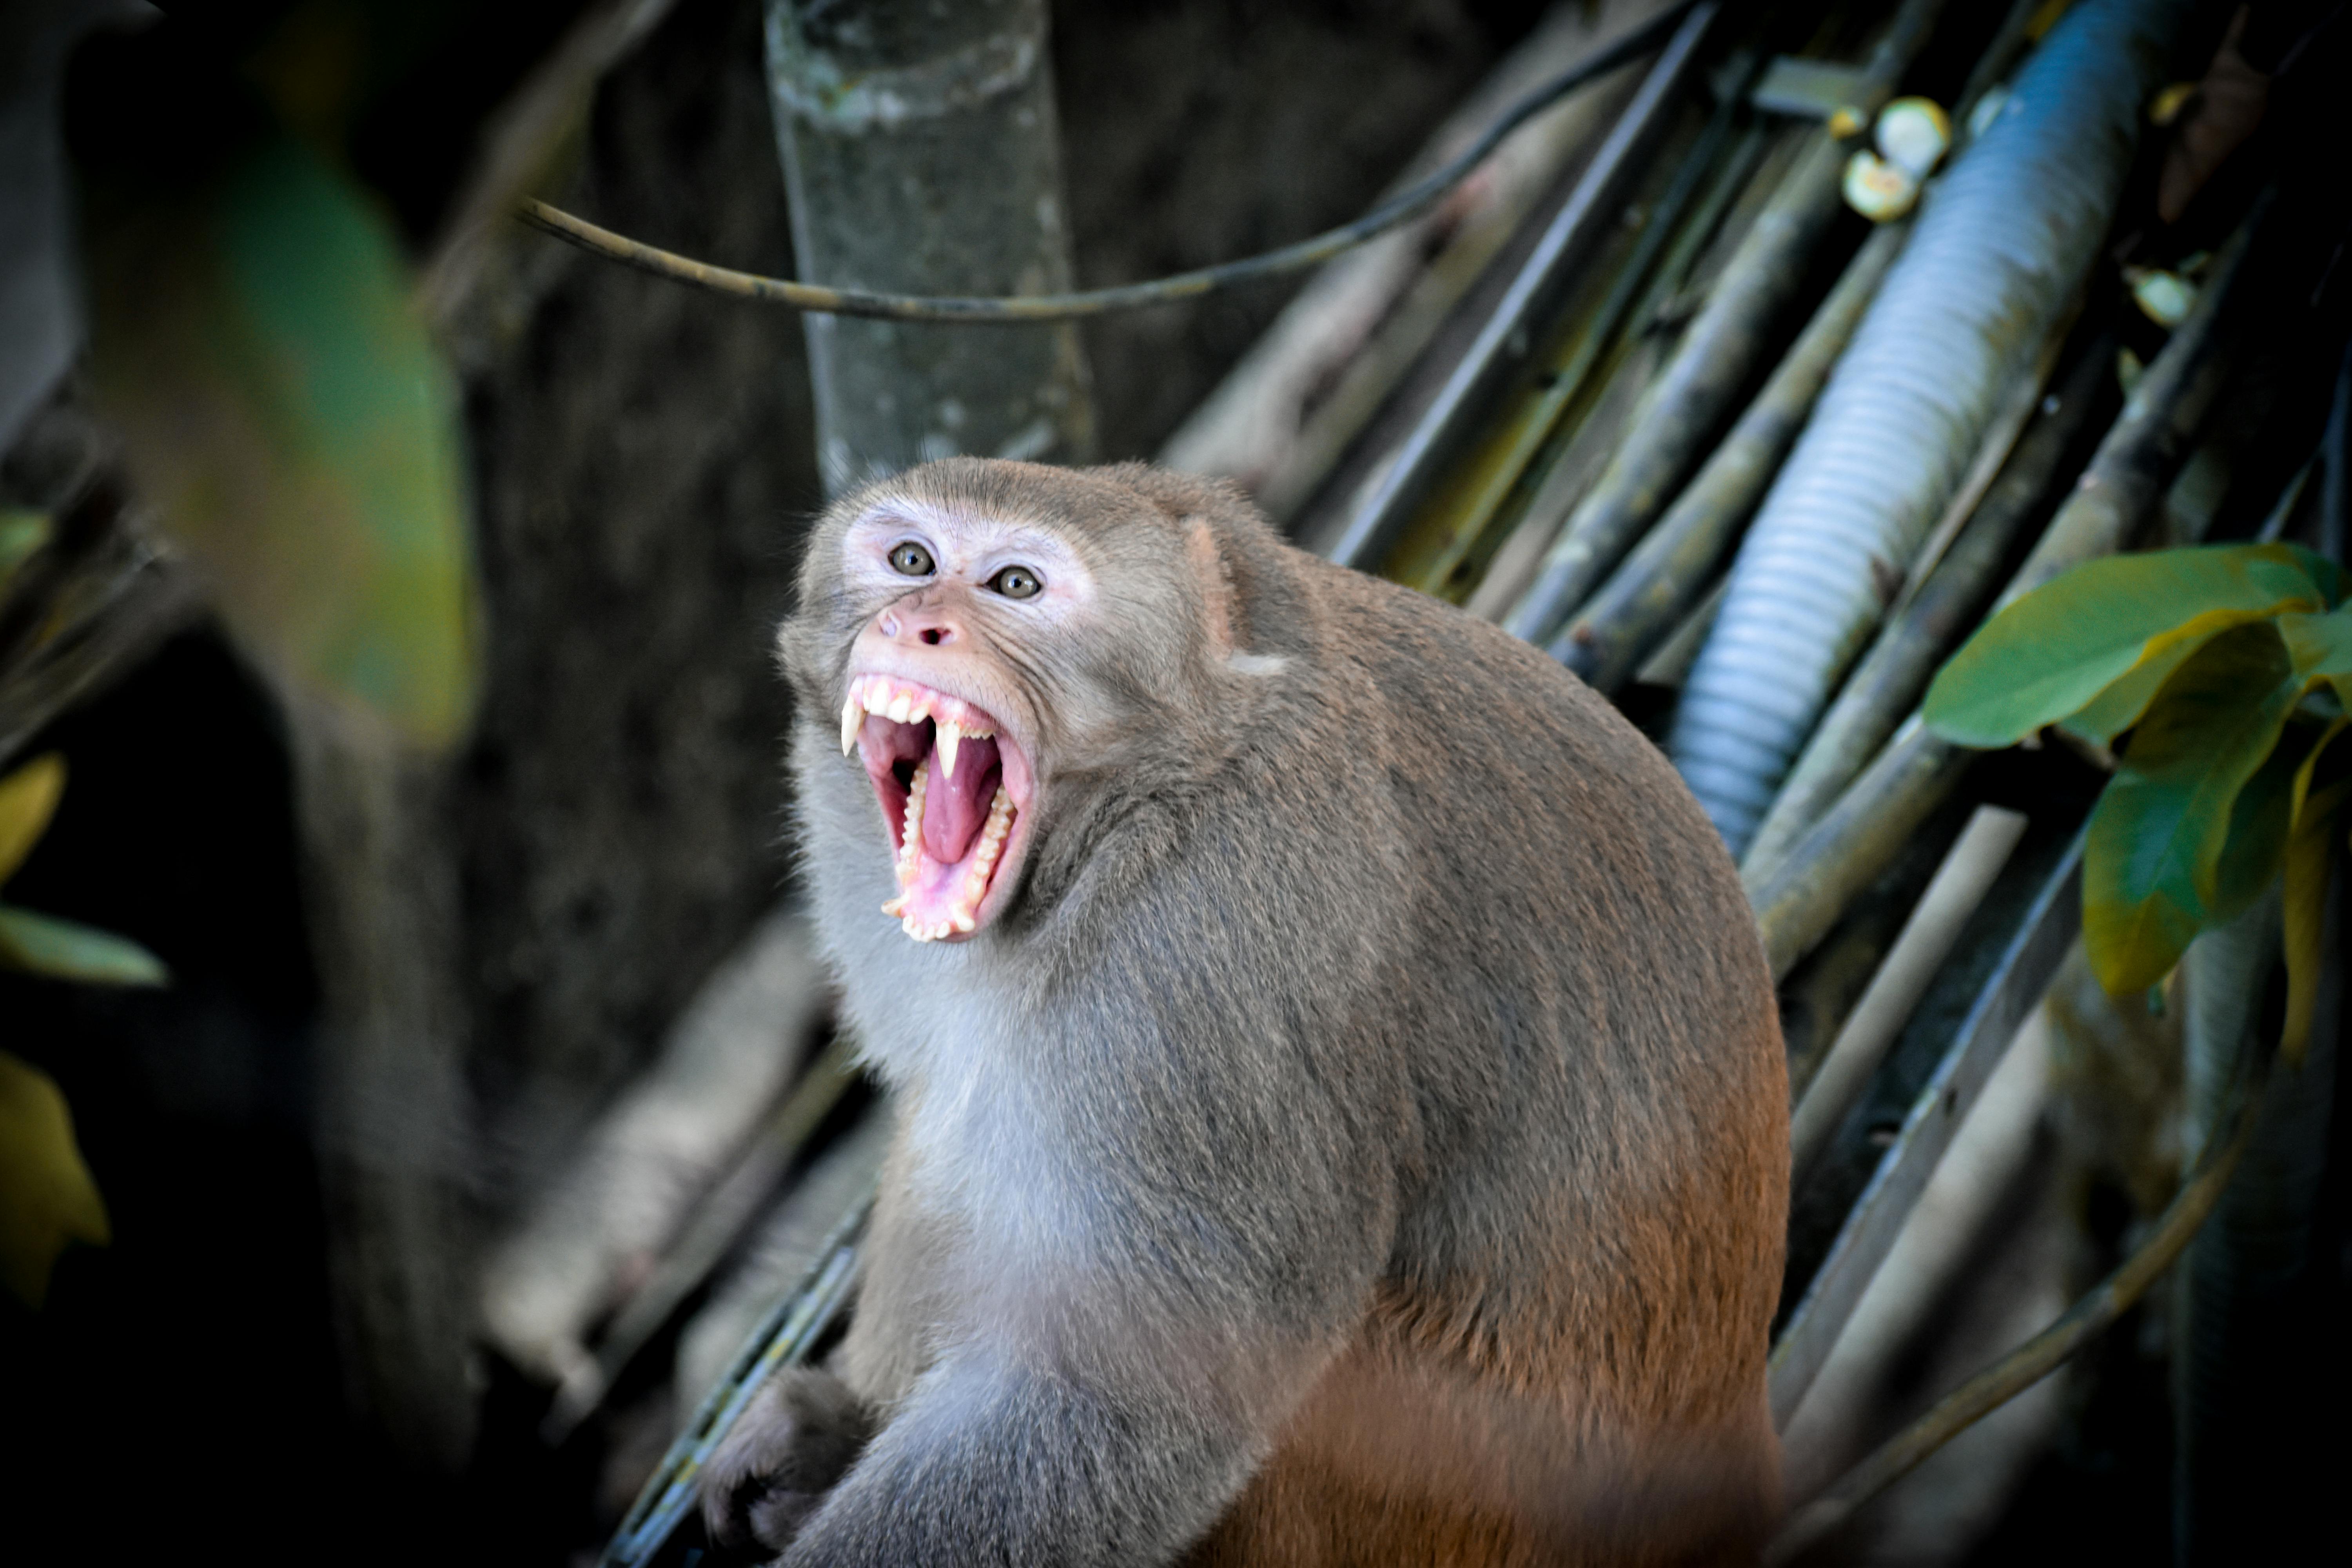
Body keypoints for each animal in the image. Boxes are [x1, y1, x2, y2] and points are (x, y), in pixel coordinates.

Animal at [701, 457, 1788, 1566]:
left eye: (1014, 585)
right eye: (912, 559)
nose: (917, 621)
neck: (1162, 782)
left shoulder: (1207, 962)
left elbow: (1119, 1393)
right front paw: (824, 1431)